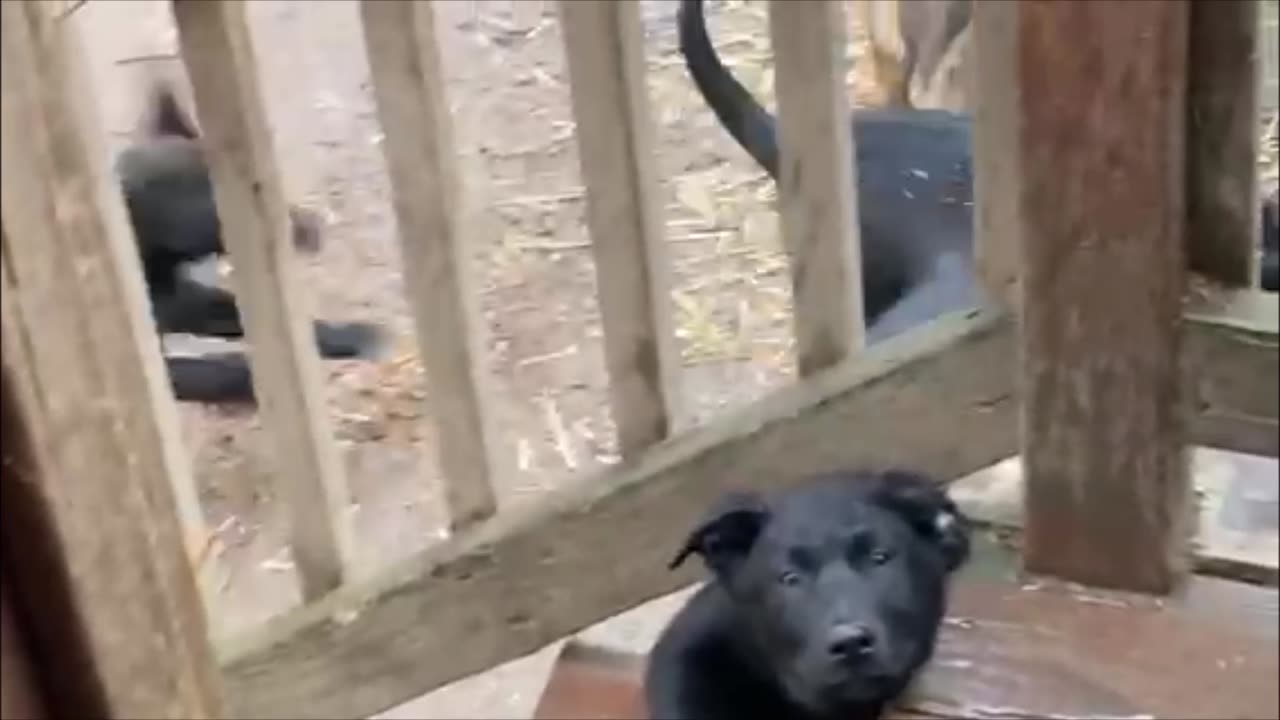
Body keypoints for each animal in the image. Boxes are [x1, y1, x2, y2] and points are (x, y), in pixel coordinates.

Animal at [117, 82, 381, 404]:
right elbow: (212, 369)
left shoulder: (179, 297)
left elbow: (231, 309)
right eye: (212, 202)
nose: (313, 226)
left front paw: (358, 335)